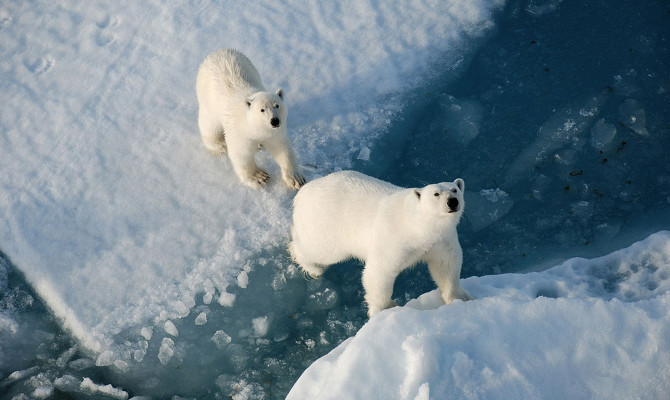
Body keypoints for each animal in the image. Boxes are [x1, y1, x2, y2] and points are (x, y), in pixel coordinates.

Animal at [197, 48, 308, 189]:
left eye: (277, 105)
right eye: (262, 110)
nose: (274, 121)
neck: (252, 126)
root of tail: (218, 52)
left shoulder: (274, 133)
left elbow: (282, 149)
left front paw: (296, 179)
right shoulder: (239, 131)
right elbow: (241, 153)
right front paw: (259, 177)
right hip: (208, 100)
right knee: (210, 125)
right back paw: (219, 145)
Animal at [292, 170, 476, 318]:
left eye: (455, 189)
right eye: (436, 194)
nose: (452, 201)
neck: (417, 225)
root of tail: (302, 193)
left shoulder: (441, 240)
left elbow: (446, 265)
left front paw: (460, 298)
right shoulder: (394, 238)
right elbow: (379, 272)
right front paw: (384, 309)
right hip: (327, 225)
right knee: (320, 251)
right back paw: (312, 267)